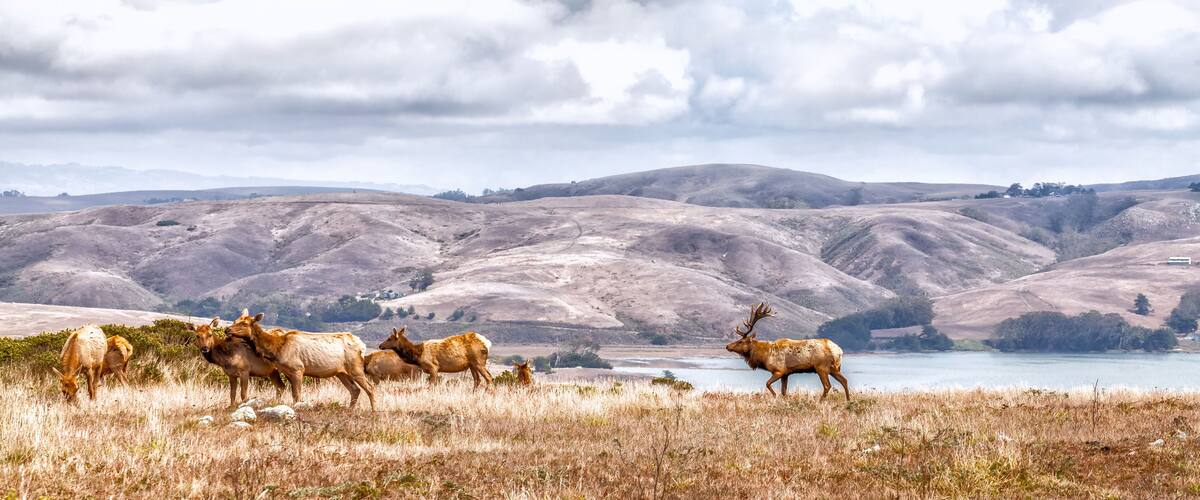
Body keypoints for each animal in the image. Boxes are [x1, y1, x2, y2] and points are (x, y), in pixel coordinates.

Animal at [227, 310, 376, 410]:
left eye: (244, 323)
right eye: (235, 320)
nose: (227, 329)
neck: (277, 349)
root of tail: (362, 345)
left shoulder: (298, 369)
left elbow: (298, 395)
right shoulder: (287, 371)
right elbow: (293, 394)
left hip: (355, 367)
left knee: (370, 387)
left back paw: (373, 411)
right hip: (341, 372)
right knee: (355, 390)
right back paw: (350, 410)